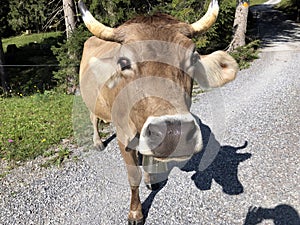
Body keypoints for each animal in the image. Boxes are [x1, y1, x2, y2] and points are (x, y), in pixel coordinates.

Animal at [78, 0, 238, 224]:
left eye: (192, 59)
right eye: (123, 63)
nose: (175, 133)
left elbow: (149, 160)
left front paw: (150, 180)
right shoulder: (123, 137)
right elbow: (133, 176)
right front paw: (135, 212)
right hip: (91, 102)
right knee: (94, 118)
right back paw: (98, 142)